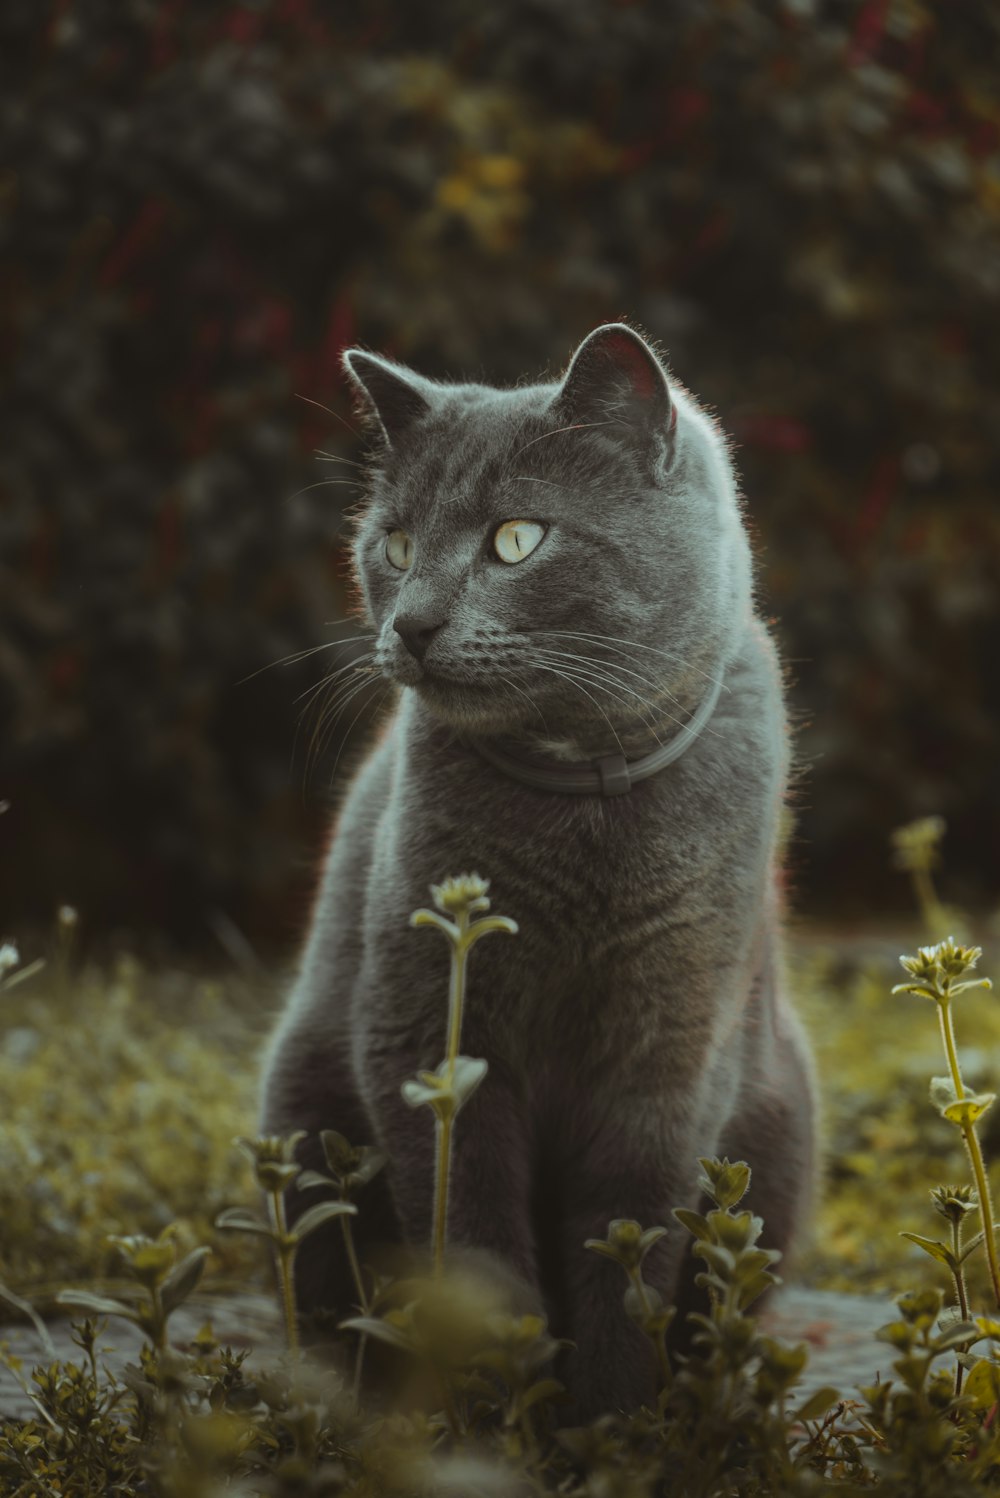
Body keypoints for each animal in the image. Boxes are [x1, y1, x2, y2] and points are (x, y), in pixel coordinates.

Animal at [261, 325, 814, 1414]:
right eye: (395, 545)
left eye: (516, 539)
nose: (412, 623)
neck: (581, 802)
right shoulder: (427, 1031)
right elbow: (472, 1227)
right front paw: (496, 1400)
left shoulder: (672, 1045)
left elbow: (629, 1233)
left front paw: (613, 1416)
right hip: (301, 1118)